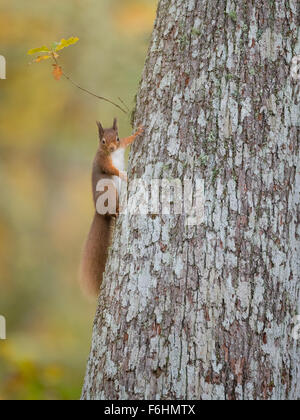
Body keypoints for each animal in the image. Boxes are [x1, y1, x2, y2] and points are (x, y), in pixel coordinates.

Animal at [79, 116, 143, 296]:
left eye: (117, 138)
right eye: (103, 141)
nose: (113, 147)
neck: (113, 153)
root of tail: (100, 212)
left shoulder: (122, 146)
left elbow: (129, 140)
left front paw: (138, 132)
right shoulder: (103, 162)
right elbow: (111, 169)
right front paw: (123, 174)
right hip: (109, 191)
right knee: (113, 211)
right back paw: (119, 209)